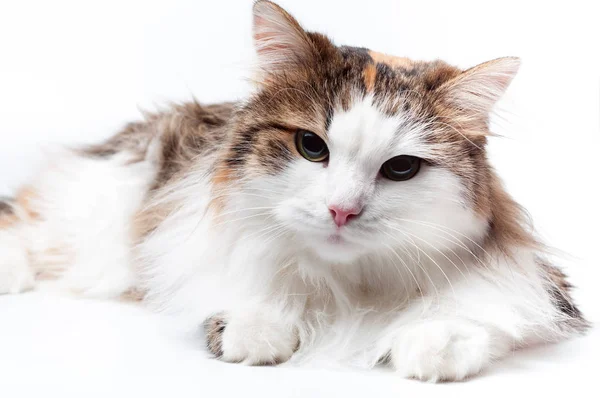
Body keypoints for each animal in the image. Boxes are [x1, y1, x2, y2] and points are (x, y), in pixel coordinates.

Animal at [0, 0, 588, 382]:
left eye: (400, 168)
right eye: (311, 146)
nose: (341, 211)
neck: (347, 285)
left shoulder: (537, 283)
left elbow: (480, 311)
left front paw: (435, 341)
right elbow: (245, 300)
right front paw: (259, 327)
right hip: (104, 201)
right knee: (26, 213)